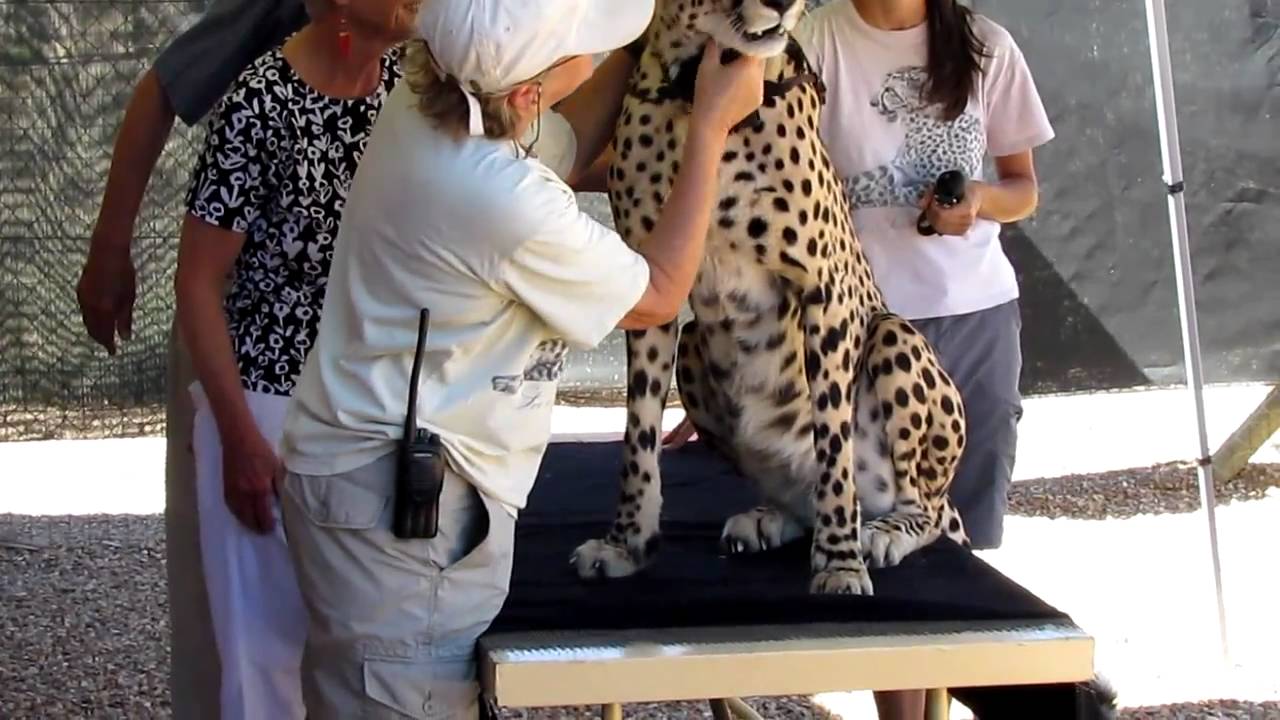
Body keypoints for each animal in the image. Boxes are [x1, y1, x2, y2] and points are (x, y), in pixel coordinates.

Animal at [571, 0, 970, 596]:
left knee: (927, 505)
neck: (695, 92)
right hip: (695, 350)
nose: (783, 6)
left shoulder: (825, 288)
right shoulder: (651, 288)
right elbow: (637, 434)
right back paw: (772, 517)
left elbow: (834, 442)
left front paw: (839, 560)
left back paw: (884, 530)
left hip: (893, 334)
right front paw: (627, 543)